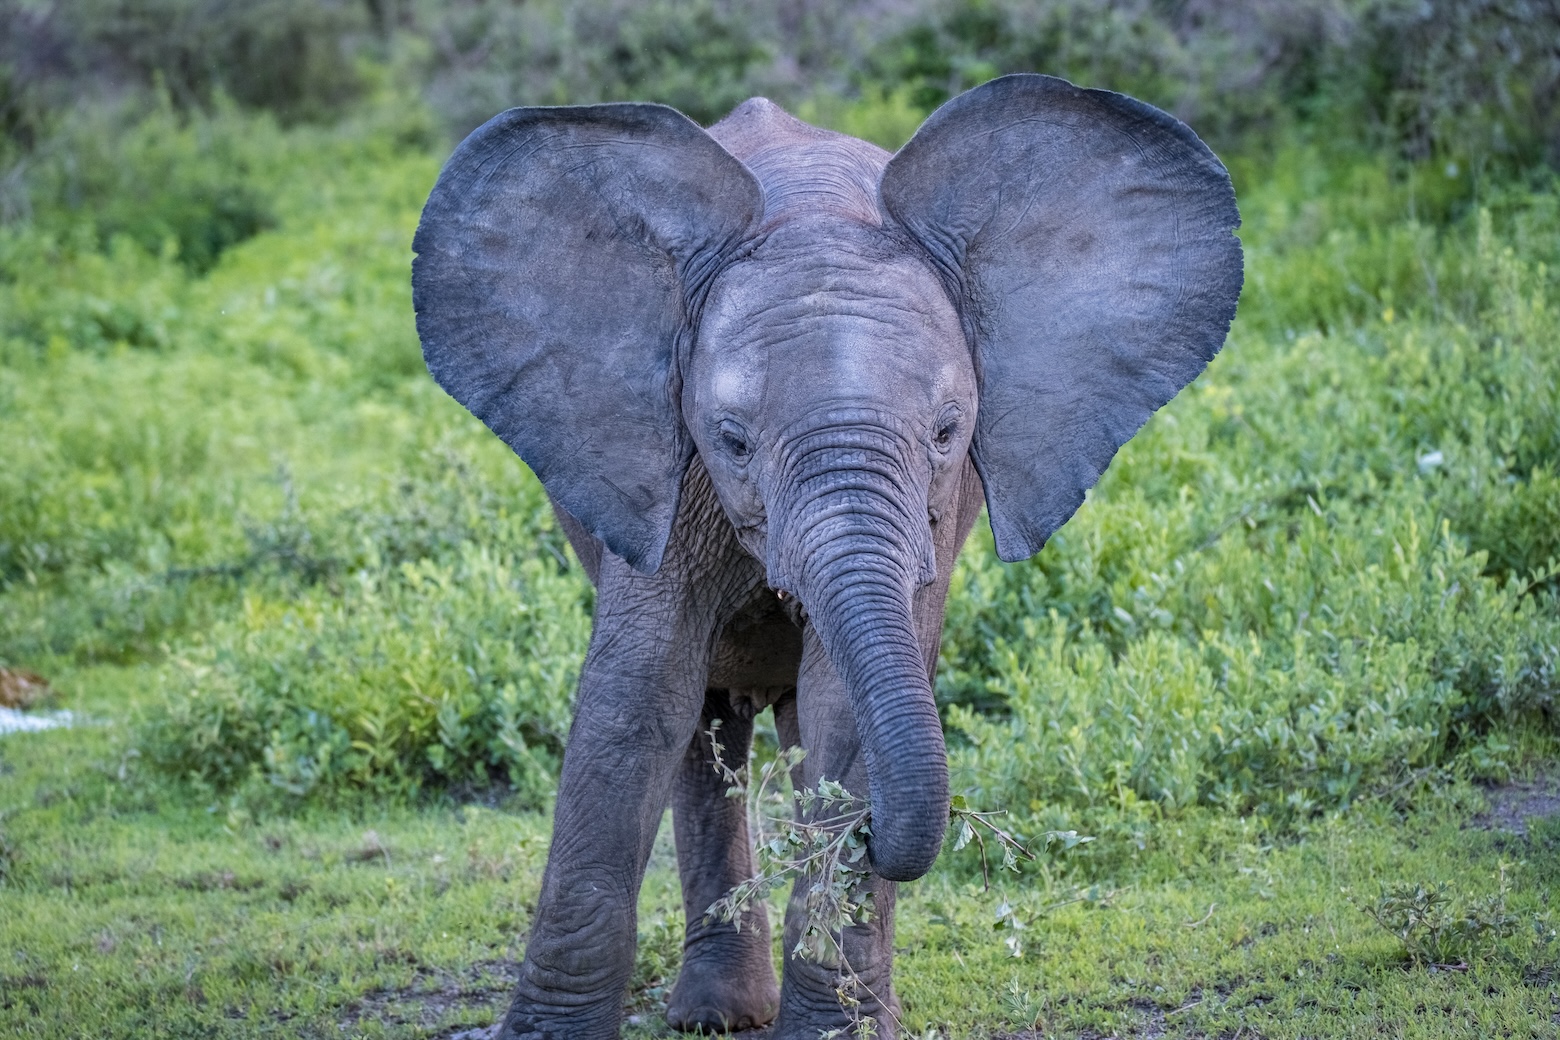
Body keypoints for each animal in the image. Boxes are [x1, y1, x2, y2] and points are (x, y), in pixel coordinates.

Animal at [411, 74, 1242, 1039]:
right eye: (732, 441)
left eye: (948, 432)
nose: (875, 832)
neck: (812, 214)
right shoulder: (666, 465)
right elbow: (636, 698)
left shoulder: (932, 510)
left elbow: (839, 708)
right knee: (702, 723)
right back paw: (718, 1015)